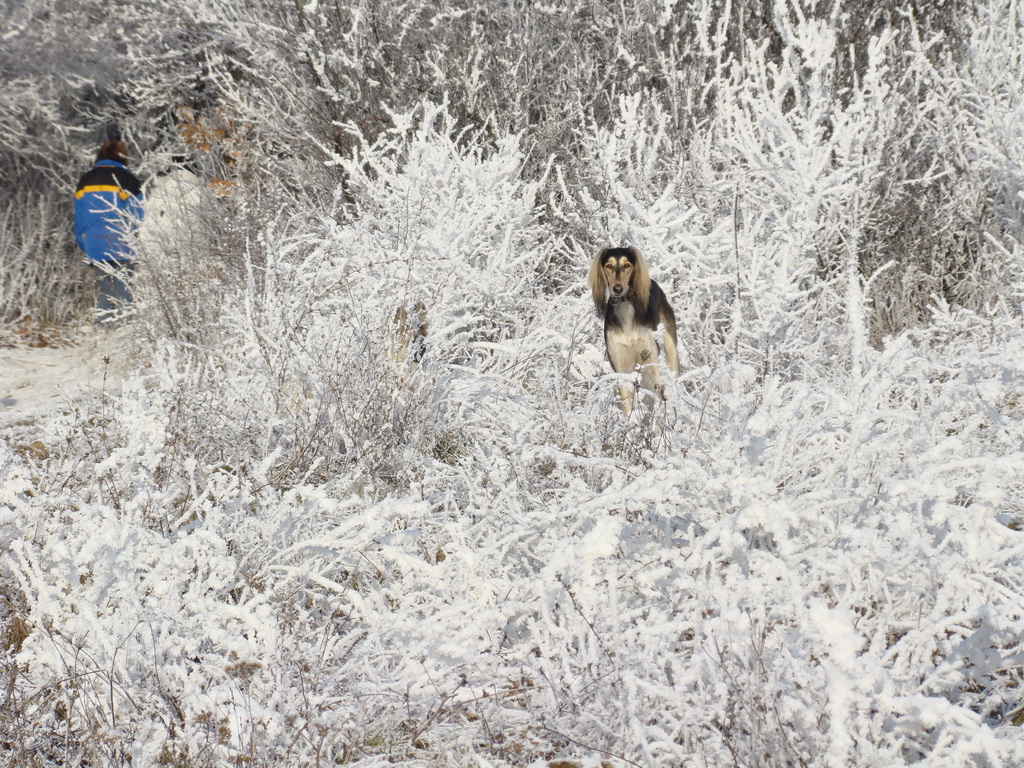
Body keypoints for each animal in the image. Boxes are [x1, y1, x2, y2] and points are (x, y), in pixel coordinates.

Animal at [589, 246, 675, 415]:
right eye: (608, 266)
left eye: (627, 265)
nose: (618, 288)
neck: (625, 306)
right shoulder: (621, 367)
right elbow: (627, 405)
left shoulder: (651, 361)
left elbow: (661, 397)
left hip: (671, 351)